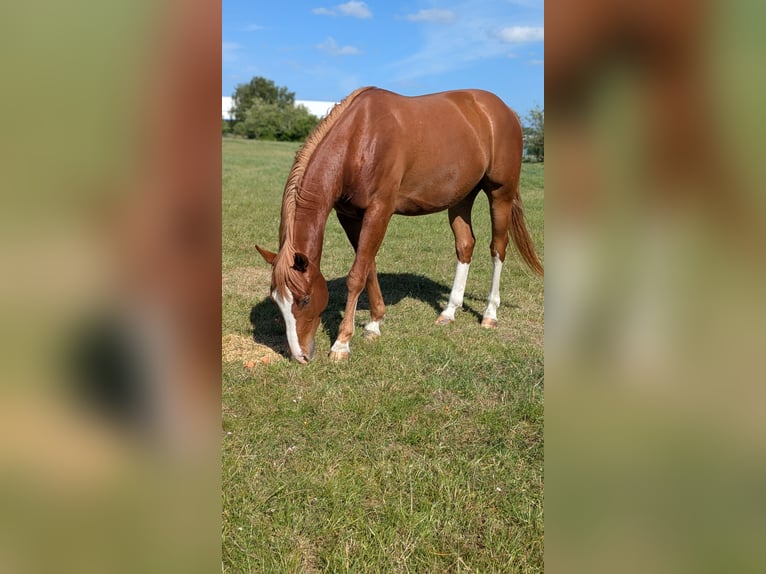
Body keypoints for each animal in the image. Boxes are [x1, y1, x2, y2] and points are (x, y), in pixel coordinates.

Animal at [256, 87, 543, 363]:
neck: (359, 139)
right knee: (465, 245)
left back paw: (490, 313)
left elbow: (356, 275)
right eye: (276, 301)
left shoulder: (379, 211)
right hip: (462, 197)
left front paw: (342, 344)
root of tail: (505, 111)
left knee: (498, 248)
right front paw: (374, 323)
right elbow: (368, 267)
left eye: (305, 299)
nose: (300, 356)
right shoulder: (349, 216)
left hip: (500, 194)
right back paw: (449, 311)